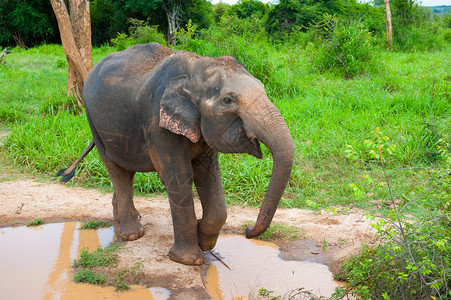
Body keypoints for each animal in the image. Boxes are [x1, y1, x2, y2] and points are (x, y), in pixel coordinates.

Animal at [56, 42, 294, 264]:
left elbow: (207, 175)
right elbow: (179, 177)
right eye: (228, 100)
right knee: (116, 169)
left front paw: (204, 242)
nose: (247, 231)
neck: (196, 69)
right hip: (93, 120)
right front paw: (188, 259)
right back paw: (132, 234)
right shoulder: (157, 122)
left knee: (126, 171)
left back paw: (126, 219)